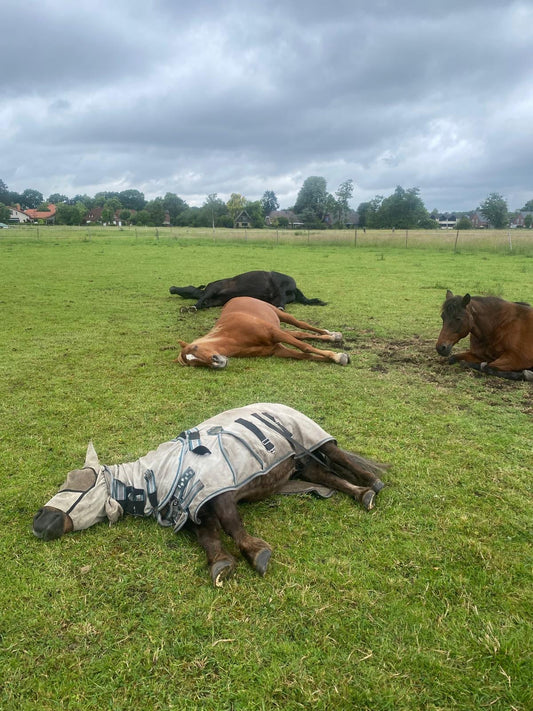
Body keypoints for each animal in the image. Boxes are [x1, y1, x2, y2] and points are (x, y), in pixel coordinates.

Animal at [33, 403, 388, 585]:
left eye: (78, 482)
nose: (38, 521)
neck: (160, 474)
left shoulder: (218, 492)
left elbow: (232, 525)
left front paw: (256, 553)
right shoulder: (196, 510)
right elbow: (209, 537)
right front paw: (221, 563)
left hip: (314, 439)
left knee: (340, 458)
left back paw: (373, 484)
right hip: (300, 464)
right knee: (328, 476)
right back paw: (361, 494)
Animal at [169, 270, 327, 310]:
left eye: (187, 287)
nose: (172, 288)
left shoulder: (213, 288)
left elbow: (200, 301)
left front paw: (191, 307)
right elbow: (203, 303)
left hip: (280, 282)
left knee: (281, 297)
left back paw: (281, 307)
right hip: (277, 297)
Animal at [176, 297, 350, 368]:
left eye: (196, 348)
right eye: (194, 364)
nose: (217, 362)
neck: (234, 337)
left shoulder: (274, 333)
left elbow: (305, 347)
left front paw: (337, 356)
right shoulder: (277, 349)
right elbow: (305, 355)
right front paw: (339, 358)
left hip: (281, 315)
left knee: (302, 325)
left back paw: (333, 335)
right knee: (299, 333)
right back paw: (332, 337)